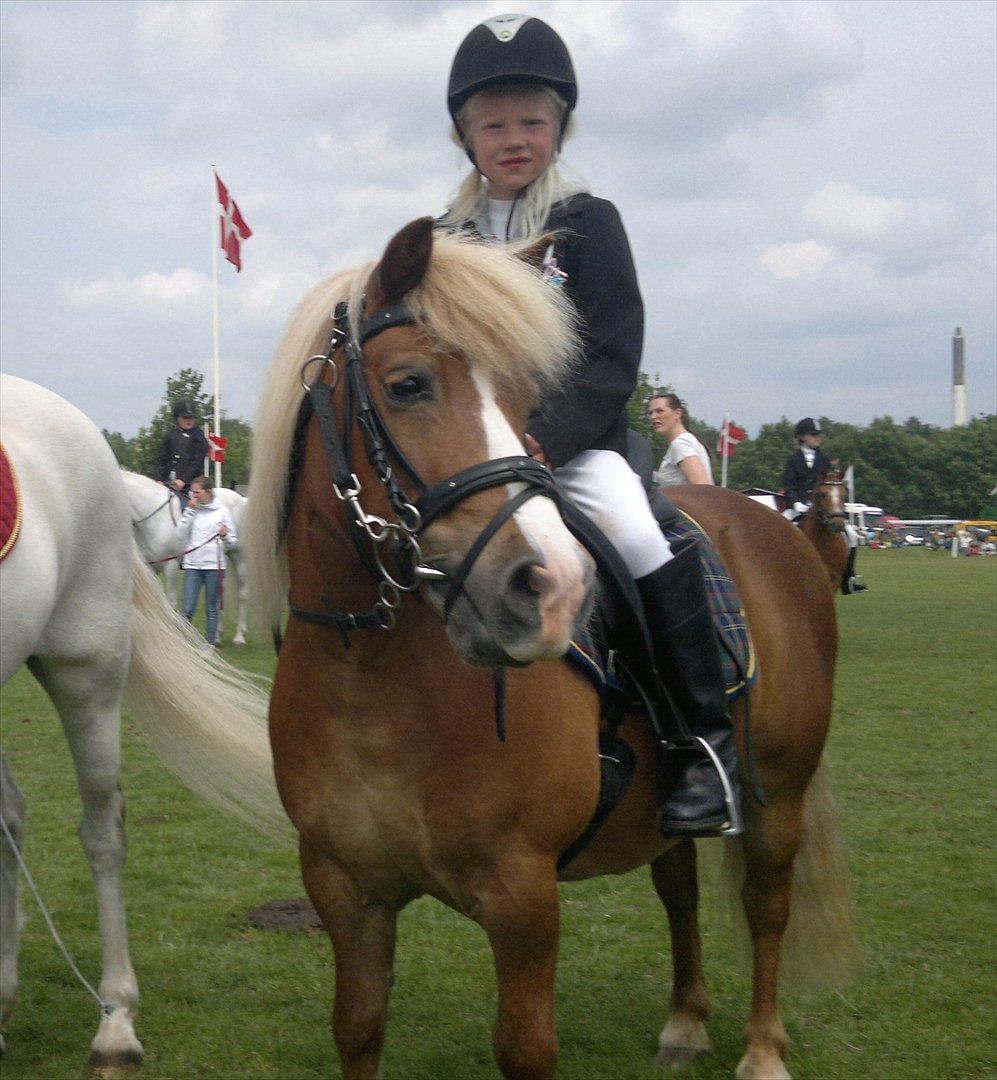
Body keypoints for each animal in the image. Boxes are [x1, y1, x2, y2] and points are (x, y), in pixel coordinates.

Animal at [122, 470, 251, 639]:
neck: (155, 519)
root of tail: (241, 499)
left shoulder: (171, 566)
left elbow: (170, 602)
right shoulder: (150, 568)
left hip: (239, 557)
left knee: (242, 594)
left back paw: (239, 636)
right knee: (218, 595)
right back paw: (217, 634)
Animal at [244, 219, 859, 1080]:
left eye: (526, 395)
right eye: (407, 384)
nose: (547, 588)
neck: (368, 680)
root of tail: (776, 531)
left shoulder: (522, 895)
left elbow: (526, 1048)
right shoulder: (345, 889)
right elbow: (358, 1029)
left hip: (781, 787)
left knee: (764, 906)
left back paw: (762, 1050)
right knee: (678, 886)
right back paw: (685, 1022)